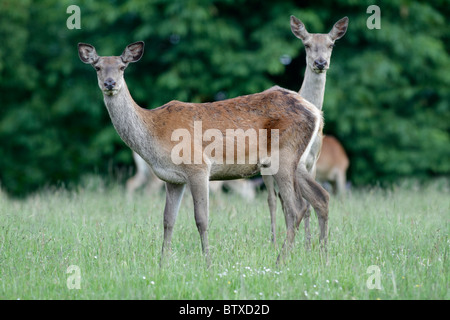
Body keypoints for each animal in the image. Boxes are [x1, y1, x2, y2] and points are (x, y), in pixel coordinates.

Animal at [79, 41, 328, 264]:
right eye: (97, 67)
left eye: (122, 67)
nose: (110, 83)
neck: (153, 131)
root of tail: (315, 111)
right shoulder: (172, 179)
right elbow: (168, 220)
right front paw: (162, 263)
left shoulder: (197, 166)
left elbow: (201, 219)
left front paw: (207, 262)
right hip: (297, 161)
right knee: (320, 197)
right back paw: (321, 256)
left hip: (284, 156)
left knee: (296, 207)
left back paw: (281, 260)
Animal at [262, 15, 350, 248]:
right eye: (307, 45)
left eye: (331, 44)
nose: (320, 63)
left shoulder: (313, 162)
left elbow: (308, 204)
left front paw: (308, 244)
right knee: (272, 200)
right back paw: (274, 240)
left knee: (283, 200)